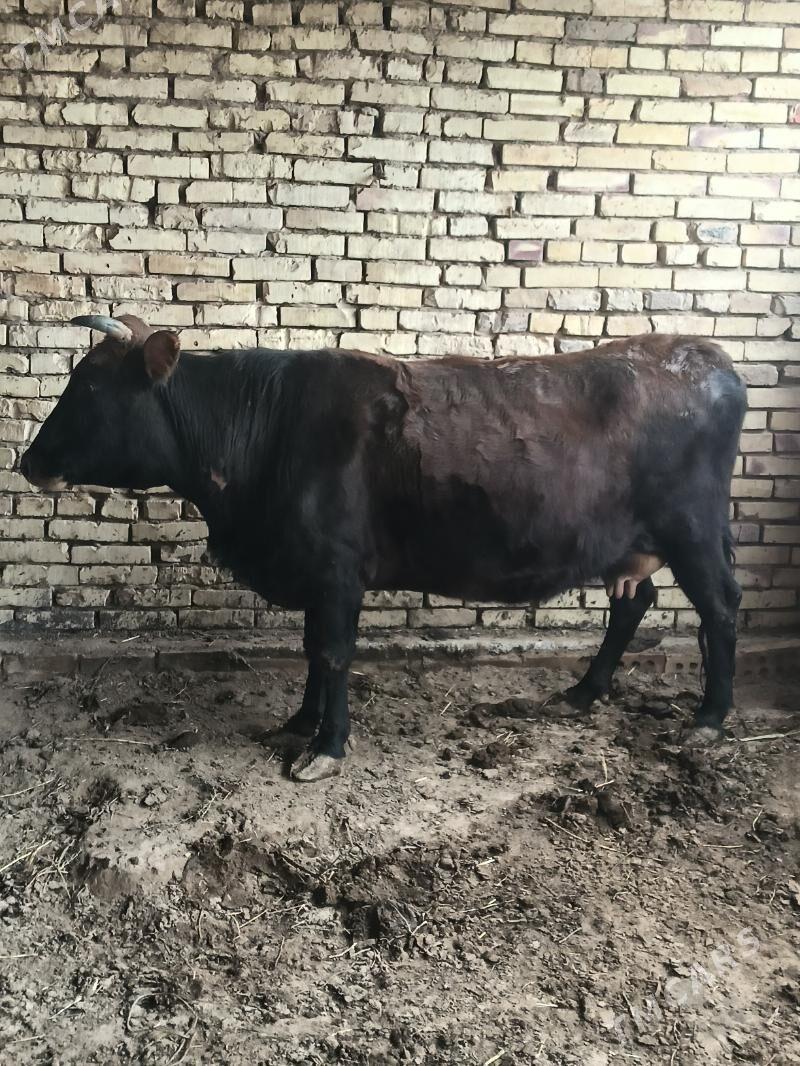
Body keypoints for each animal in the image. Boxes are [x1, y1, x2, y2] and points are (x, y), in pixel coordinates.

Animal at [20, 315, 747, 781]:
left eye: (90, 389)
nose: (29, 461)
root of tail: (704, 356)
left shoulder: (338, 568)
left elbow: (334, 652)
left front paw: (327, 746)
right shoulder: (318, 573)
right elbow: (312, 649)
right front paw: (300, 721)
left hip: (693, 529)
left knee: (719, 607)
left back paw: (709, 718)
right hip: (630, 543)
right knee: (634, 601)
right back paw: (585, 691)